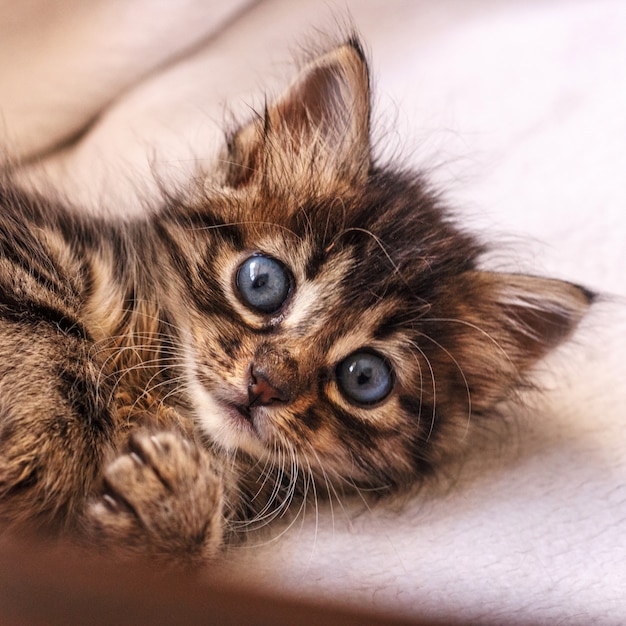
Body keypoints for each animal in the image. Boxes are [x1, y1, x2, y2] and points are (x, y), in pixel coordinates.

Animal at [0, 40, 588, 564]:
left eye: (365, 377)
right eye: (262, 282)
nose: (264, 384)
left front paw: (174, 509)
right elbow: (55, 337)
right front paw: (55, 441)